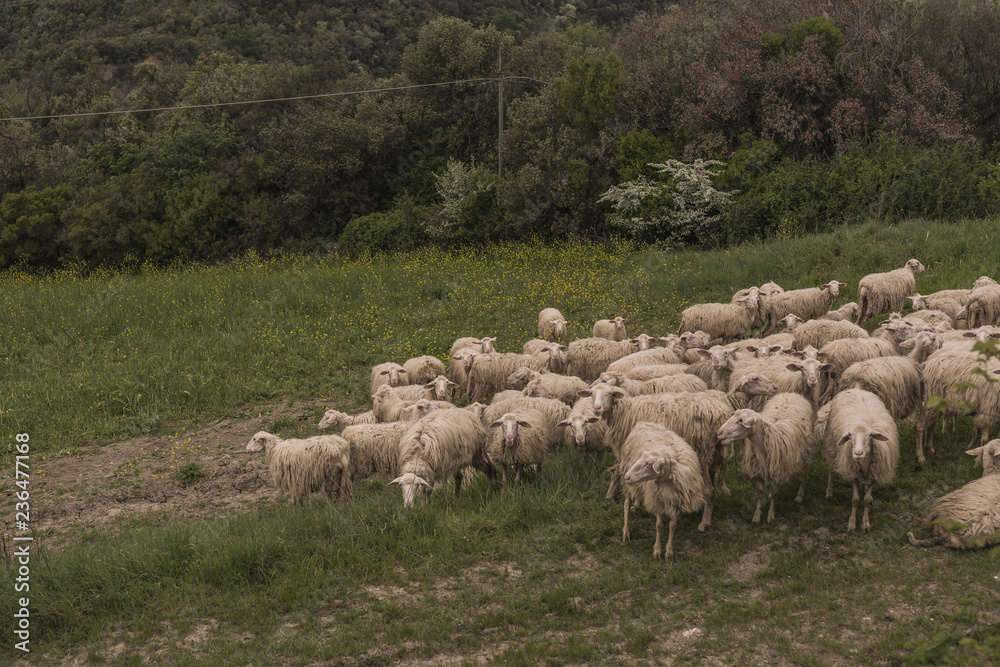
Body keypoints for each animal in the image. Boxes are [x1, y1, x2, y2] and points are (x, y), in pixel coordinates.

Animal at [620, 422, 704, 559]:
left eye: (649, 463)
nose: (628, 477)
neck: (666, 482)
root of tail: (643, 423)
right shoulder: (656, 500)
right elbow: (658, 526)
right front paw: (657, 550)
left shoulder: (677, 502)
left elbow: (672, 526)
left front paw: (669, 551)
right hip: (626, 475)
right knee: (626, 503)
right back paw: (626, 531)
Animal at [717, 393, 815, 524]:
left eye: (740, 421)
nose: (719, 432)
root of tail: (791, 393)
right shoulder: (760, 470)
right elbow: (760, 493)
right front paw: (757, 516)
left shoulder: (778, 471)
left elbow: (774, 493)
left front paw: (770, 516)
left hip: (806, 452)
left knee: (804, 474)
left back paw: (799, 496)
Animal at [822, 388, 900, 532]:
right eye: (850, 435)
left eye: (871, 435)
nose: (858, 453)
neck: (864, 465)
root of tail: (855, 389)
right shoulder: (853, 473)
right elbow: (855, 499)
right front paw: (852, 524)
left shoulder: (875, 474)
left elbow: (866, 500)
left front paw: (865, 523)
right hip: (831, 446)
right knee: (830, 469)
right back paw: (829, 492)